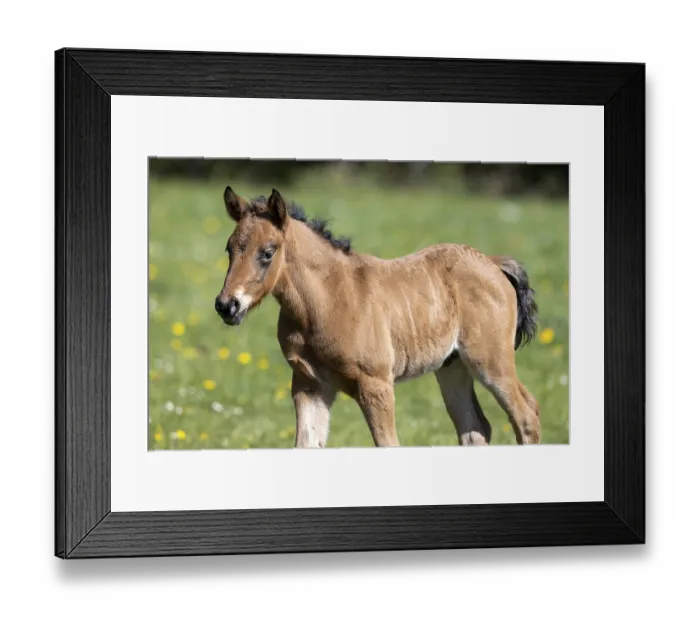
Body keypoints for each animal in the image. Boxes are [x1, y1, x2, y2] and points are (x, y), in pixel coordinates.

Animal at [214, 187, 541, 448]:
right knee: (474, 429)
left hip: (490, 361)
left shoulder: (377, 387)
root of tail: (493, 263)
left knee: (526, 415)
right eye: (229, 248)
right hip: (452, 366)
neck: (327, 301)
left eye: (268, 252)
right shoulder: (310, 385)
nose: (227, 305)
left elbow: (388, 443)